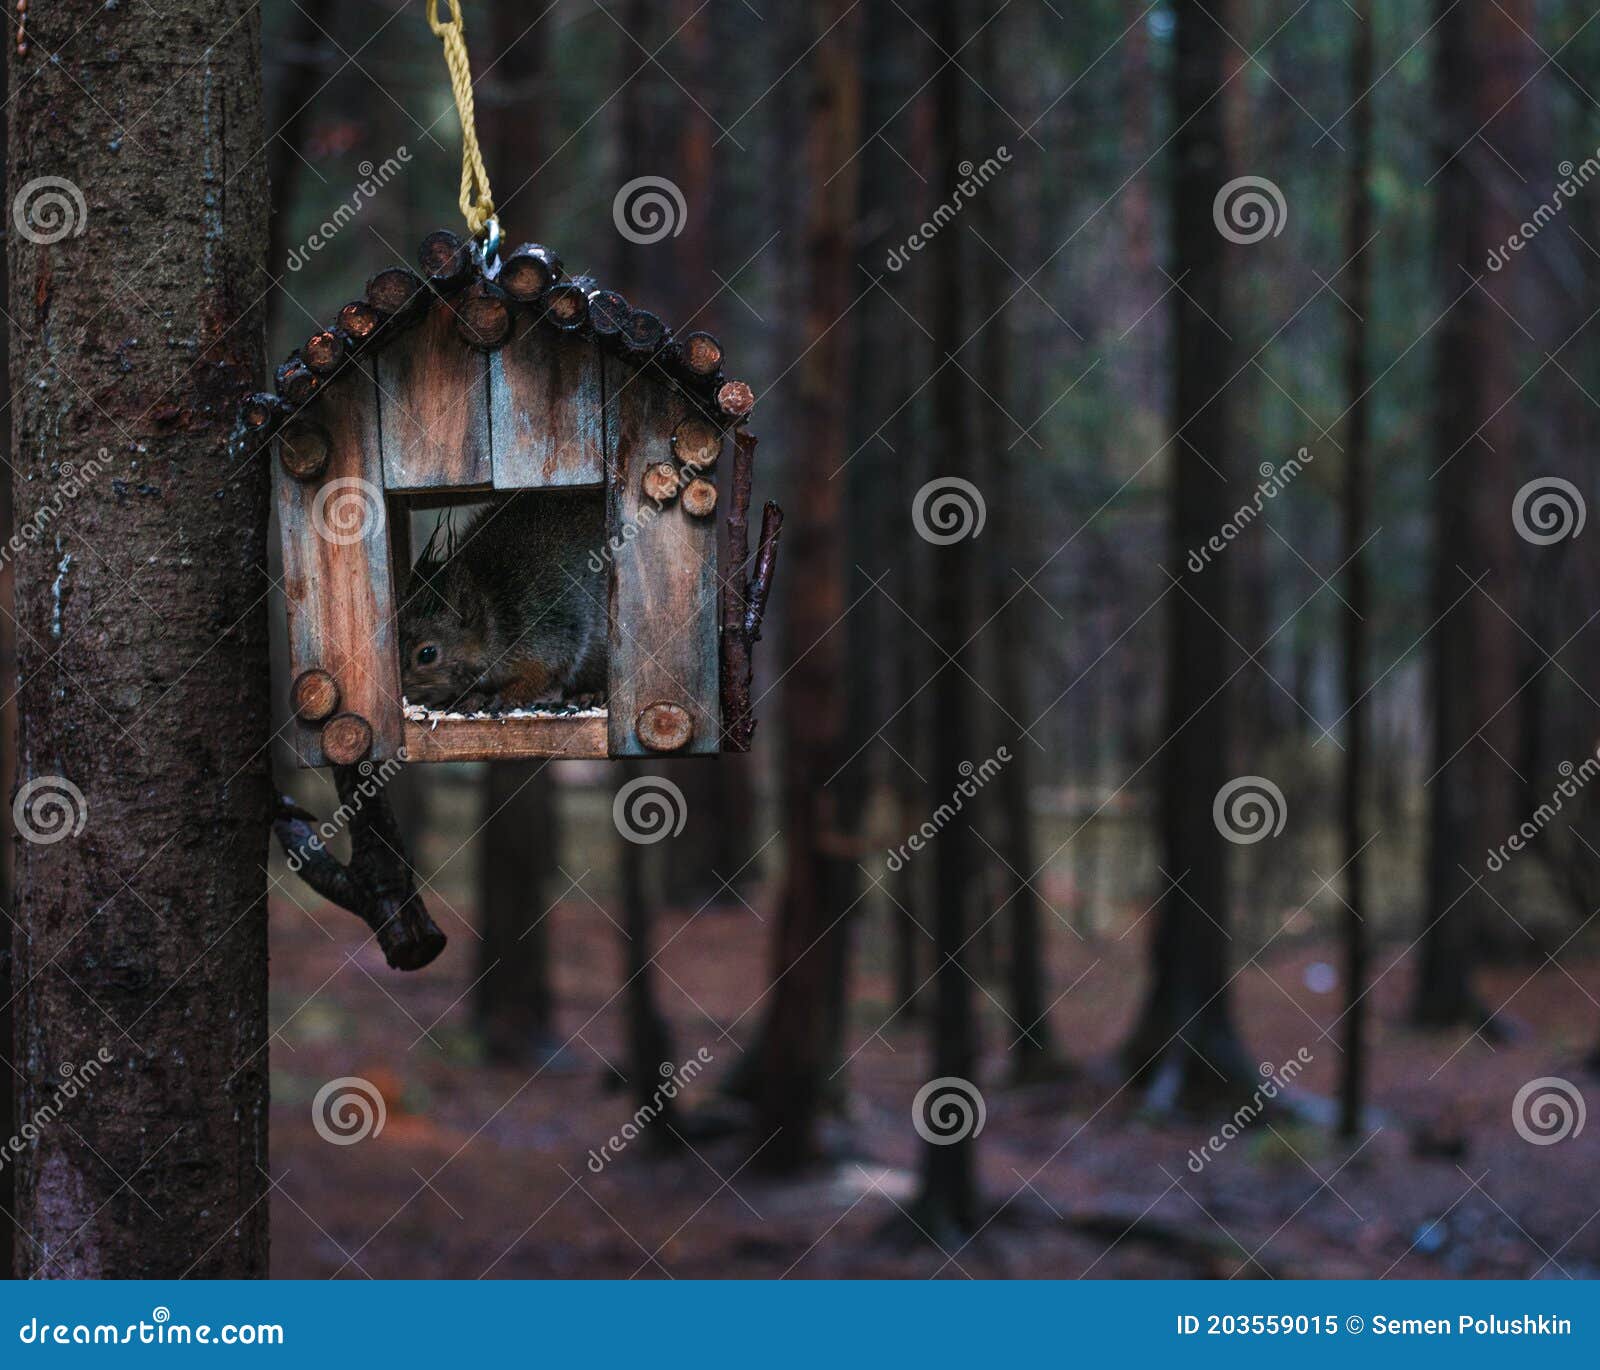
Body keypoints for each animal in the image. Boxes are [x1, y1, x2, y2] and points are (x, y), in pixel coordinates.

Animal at [398, 490, 608, 713]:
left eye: (427, 654)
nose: (403, 692)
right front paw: (473, 698)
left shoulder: (547, 639)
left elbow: (539, 676)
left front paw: (501, 697)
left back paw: (587, 694)